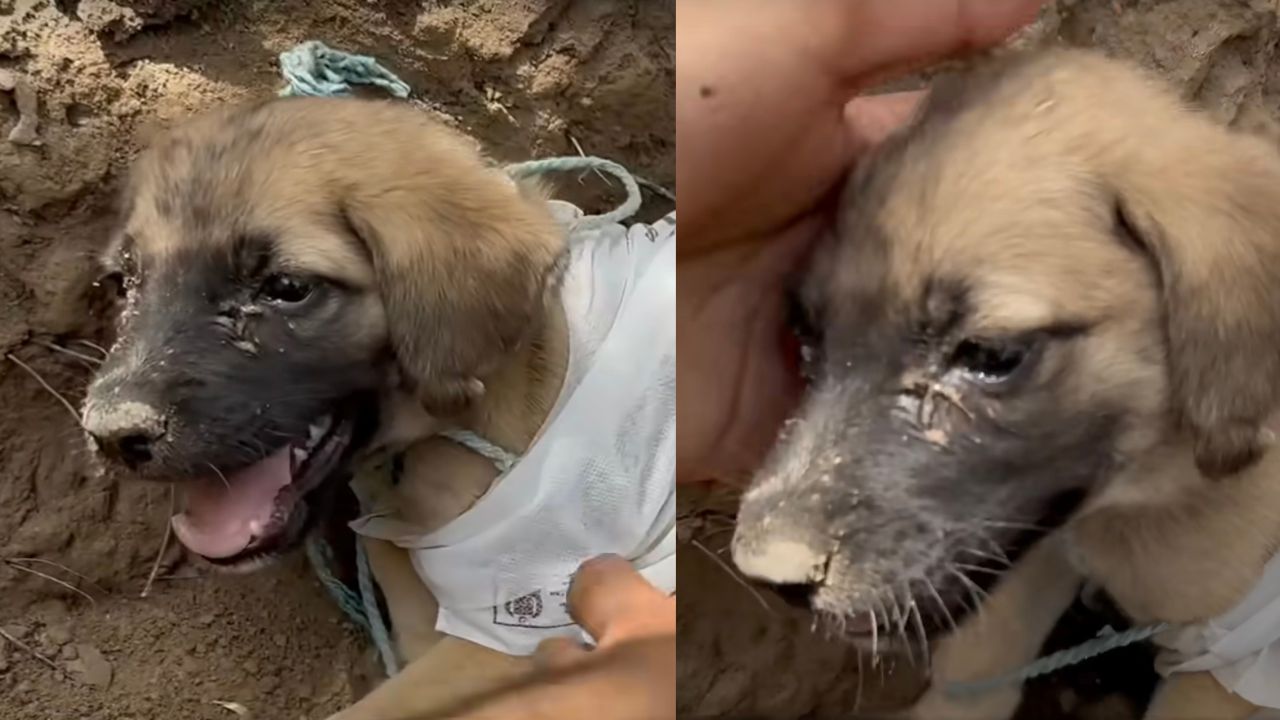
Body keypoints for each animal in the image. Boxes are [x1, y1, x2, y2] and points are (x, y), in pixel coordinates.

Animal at [732, 46, 1280, 717]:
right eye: (807, 341)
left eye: (990, 353)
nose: (768, 576)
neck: (1154, 495)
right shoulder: (1032, 540)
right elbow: (979, 664)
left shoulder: (1231, 663)